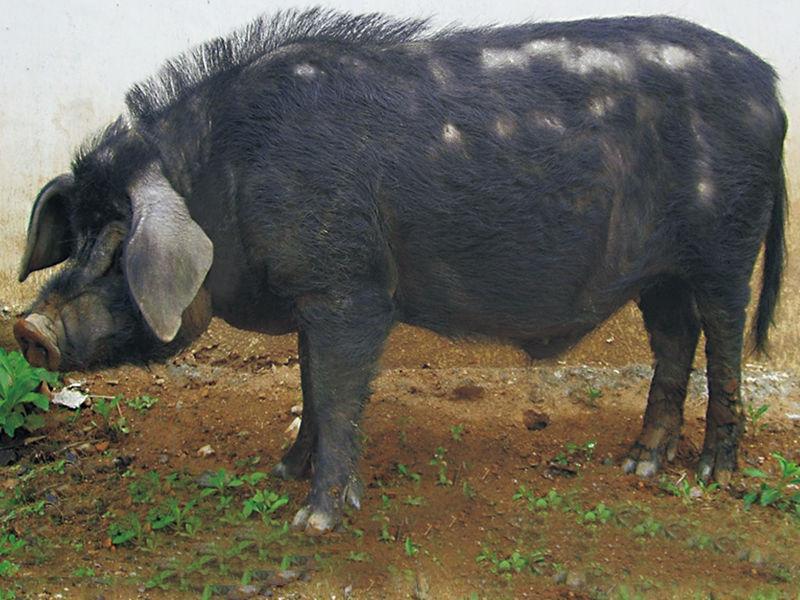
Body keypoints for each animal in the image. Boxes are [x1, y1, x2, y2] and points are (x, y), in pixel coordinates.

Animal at [15, 9, 787, 534]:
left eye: (119, 246)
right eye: (78, 237)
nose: (29, 328)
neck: (217, 182)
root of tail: (772, 90)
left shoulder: (351, 290)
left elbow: (336, 393)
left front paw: (315, 522)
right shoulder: (316, 290)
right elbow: (309, 385)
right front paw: (281, 469)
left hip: (727, 244)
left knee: (724, 339)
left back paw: (709, 476)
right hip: (659, 272)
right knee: (675, 340)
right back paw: (640, 464)